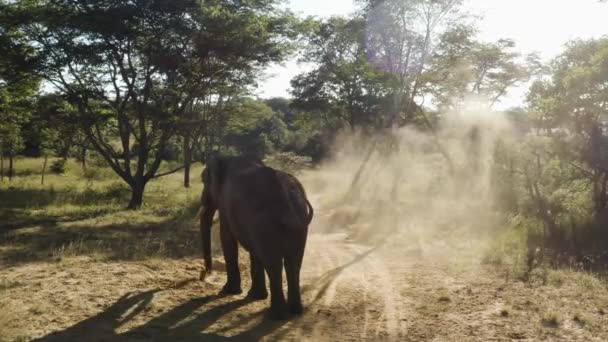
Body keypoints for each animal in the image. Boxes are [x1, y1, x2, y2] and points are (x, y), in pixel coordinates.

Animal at [200, 156, 314, 320]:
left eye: (204, 181)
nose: (205, 273)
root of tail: (288, 200)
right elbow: (254, 250)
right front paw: (256, 296)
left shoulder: (225, 204)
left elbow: (227, 237)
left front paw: (229, 291)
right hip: (298, 223)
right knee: (294, 262)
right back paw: (295, 311)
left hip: (267, 223)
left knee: (273, 264)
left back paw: (275, 315)